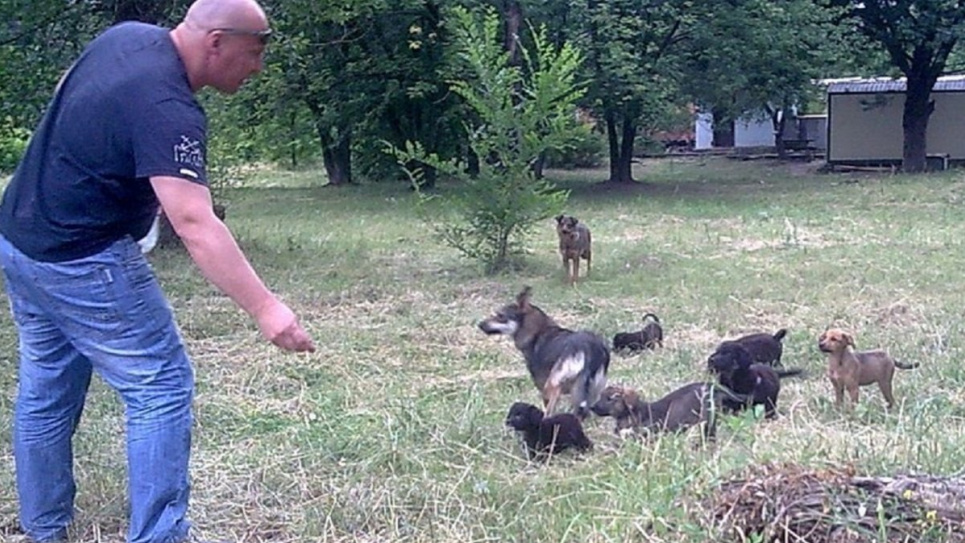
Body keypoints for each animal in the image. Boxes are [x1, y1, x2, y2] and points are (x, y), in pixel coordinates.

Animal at [476, 286, 608, 418]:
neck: (537, 332)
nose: (480, 324)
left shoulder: (543, 387)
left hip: (552, 387)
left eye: (500, 316)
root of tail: (589, 348)